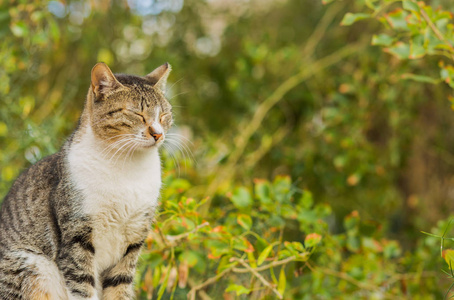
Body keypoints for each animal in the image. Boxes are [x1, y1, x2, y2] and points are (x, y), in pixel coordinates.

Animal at [0, 62, 173, 298]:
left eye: (164, 115)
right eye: (136, 113)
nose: (158, 133)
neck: (129, 169)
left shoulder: (133, 241)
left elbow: (120, 287)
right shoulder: (76, 236)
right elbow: (83, 286)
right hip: (32, 265)